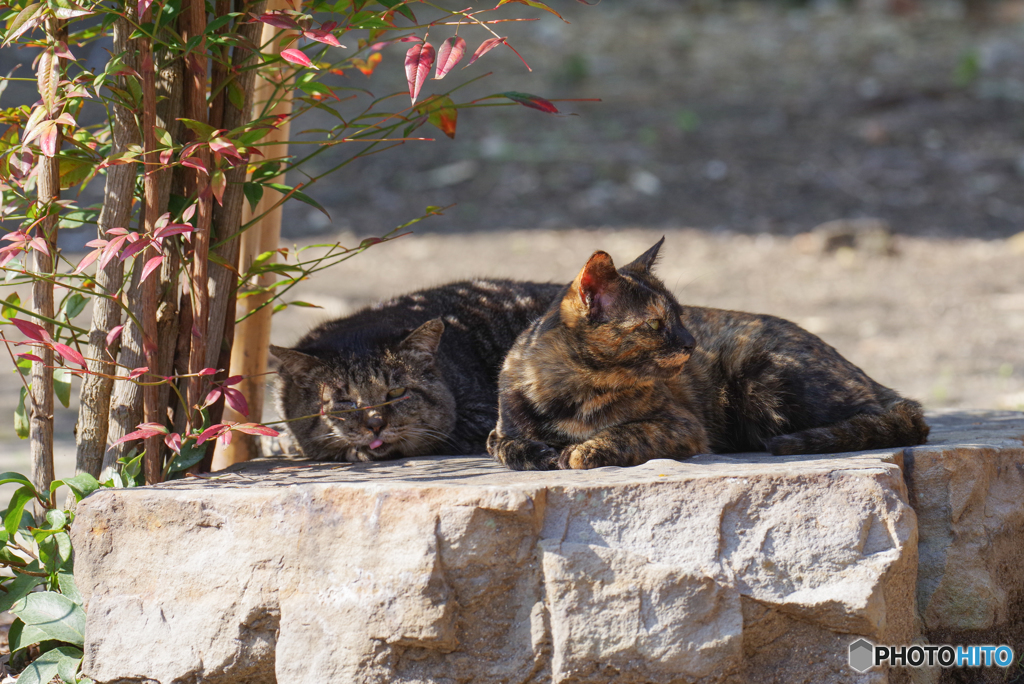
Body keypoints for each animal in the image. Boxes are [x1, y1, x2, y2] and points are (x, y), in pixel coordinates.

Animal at [485, 239, 929, 471]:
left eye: (681, 315)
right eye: (655, 324)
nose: (691, 343)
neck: (574, 391)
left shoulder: (682, 427)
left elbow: (625, 432)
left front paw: (583, 450)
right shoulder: (501, 427)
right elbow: (504, 445)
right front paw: (538, 453)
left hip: (762, 376)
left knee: (902, 421)